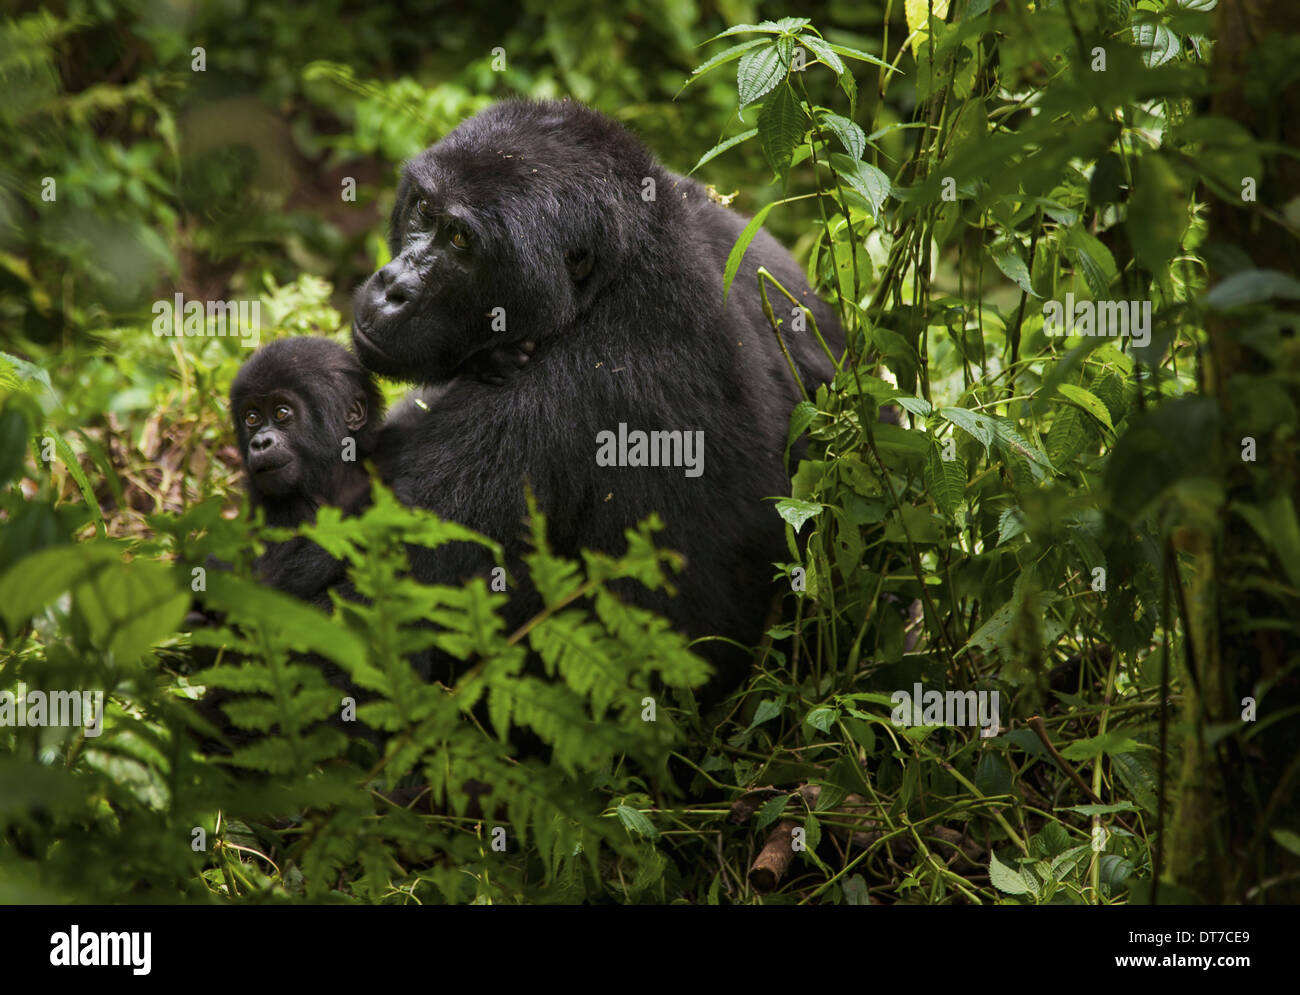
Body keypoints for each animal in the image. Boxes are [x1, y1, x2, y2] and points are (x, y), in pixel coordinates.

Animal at [353, 96, 842, 697]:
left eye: (461, 240)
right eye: (423, 208)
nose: (392, 288)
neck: (621, 272)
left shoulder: (546, 403)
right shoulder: (738, 239)